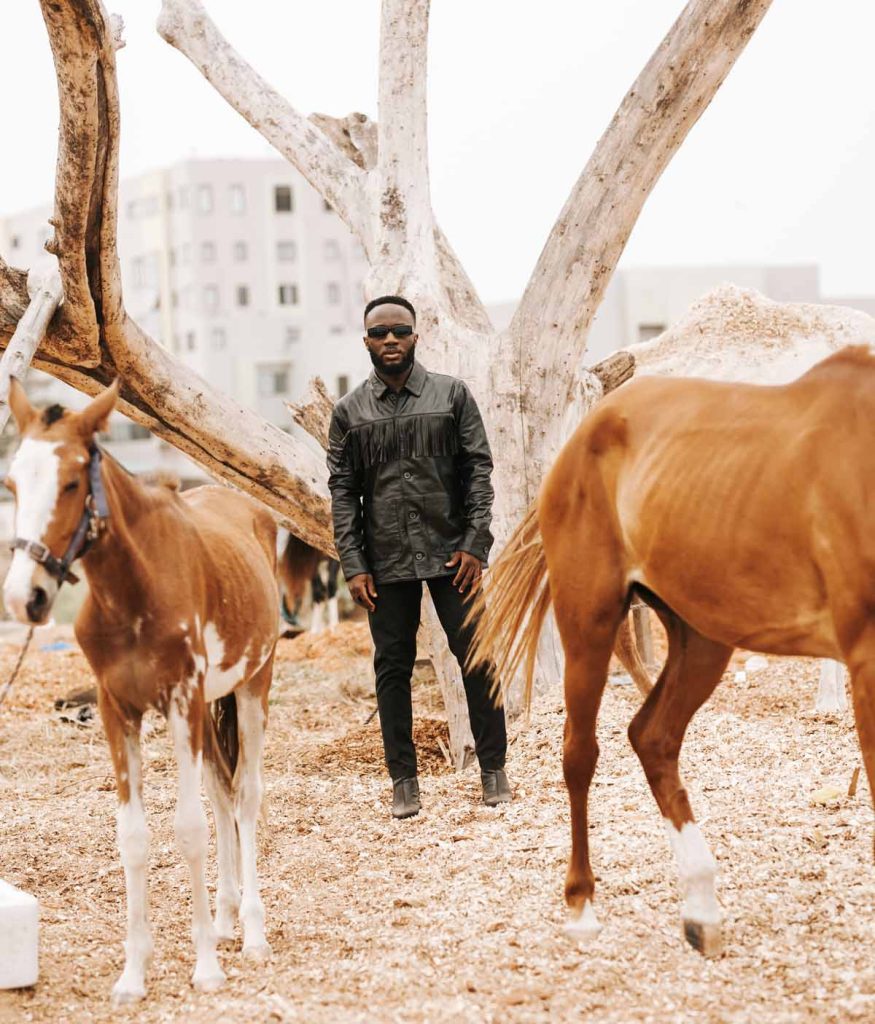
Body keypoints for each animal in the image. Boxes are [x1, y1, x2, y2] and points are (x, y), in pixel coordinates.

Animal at [2, 378, 276, 999]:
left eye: (72, 482)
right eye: (12, 482)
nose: (25, 598)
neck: (134, 591)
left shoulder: (181, 703)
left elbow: (189, 828)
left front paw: (205, 967)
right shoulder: (116, 710)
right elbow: (133, 837)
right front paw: (134, 973)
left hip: (251, 687)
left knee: (244, 797)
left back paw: (251, 932)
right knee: (223, 792)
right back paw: (225, 919)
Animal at [473, 350, 875, 958]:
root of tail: (588, 430)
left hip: (702, 637)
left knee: (652, 737)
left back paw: (700, 908)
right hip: (588, 621)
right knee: (580, 753)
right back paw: (583, 907)